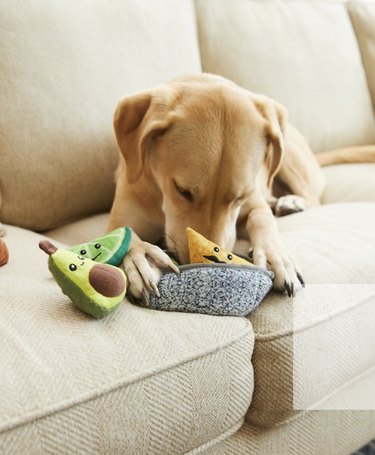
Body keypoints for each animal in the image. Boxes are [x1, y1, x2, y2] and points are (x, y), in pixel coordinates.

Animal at [106, 74, 375, 300]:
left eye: (240, 196)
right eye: (181, 190)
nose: (213, 264)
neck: (160, 196)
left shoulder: (253, 202)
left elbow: (262, 219)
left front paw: (275, 256)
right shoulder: (124, 211)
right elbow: (124, 232)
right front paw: (140, 257)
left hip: (286, 156)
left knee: (312, 196)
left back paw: (291, 201)